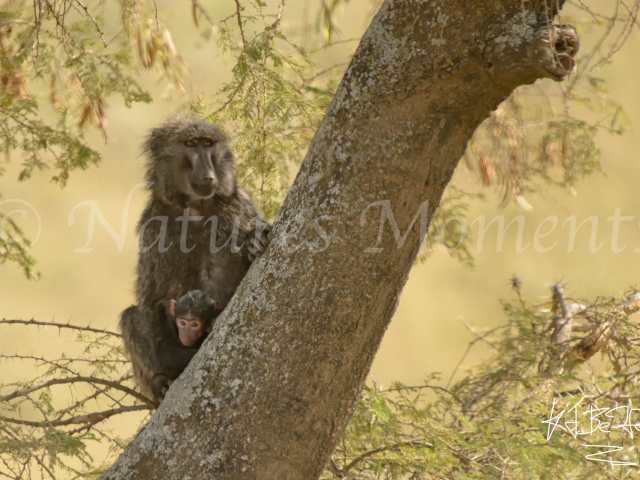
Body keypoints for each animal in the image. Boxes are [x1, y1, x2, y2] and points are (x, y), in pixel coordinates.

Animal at [119, 116, 271, 400]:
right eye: (190, 144)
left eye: (208, 144)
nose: (208, 175)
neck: (194, 206)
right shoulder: (152, 226)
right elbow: (150, 298)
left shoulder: (239, 206)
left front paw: (254, 241)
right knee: (131, 318)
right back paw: (161, 384)